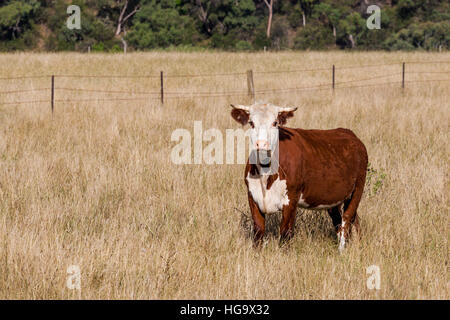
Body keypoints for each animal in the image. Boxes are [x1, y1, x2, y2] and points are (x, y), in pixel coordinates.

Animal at [230, 102, 368, 250]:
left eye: (275, 123)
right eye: (251, 123)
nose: (261, 144)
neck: (266, 175)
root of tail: (350, 134)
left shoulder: (292, 198)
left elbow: (285, 232)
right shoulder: (253, 196)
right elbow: (258, 231)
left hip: (358, 188)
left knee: (347, 219)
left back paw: (342, 250)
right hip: (335, 198)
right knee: (345, 221)